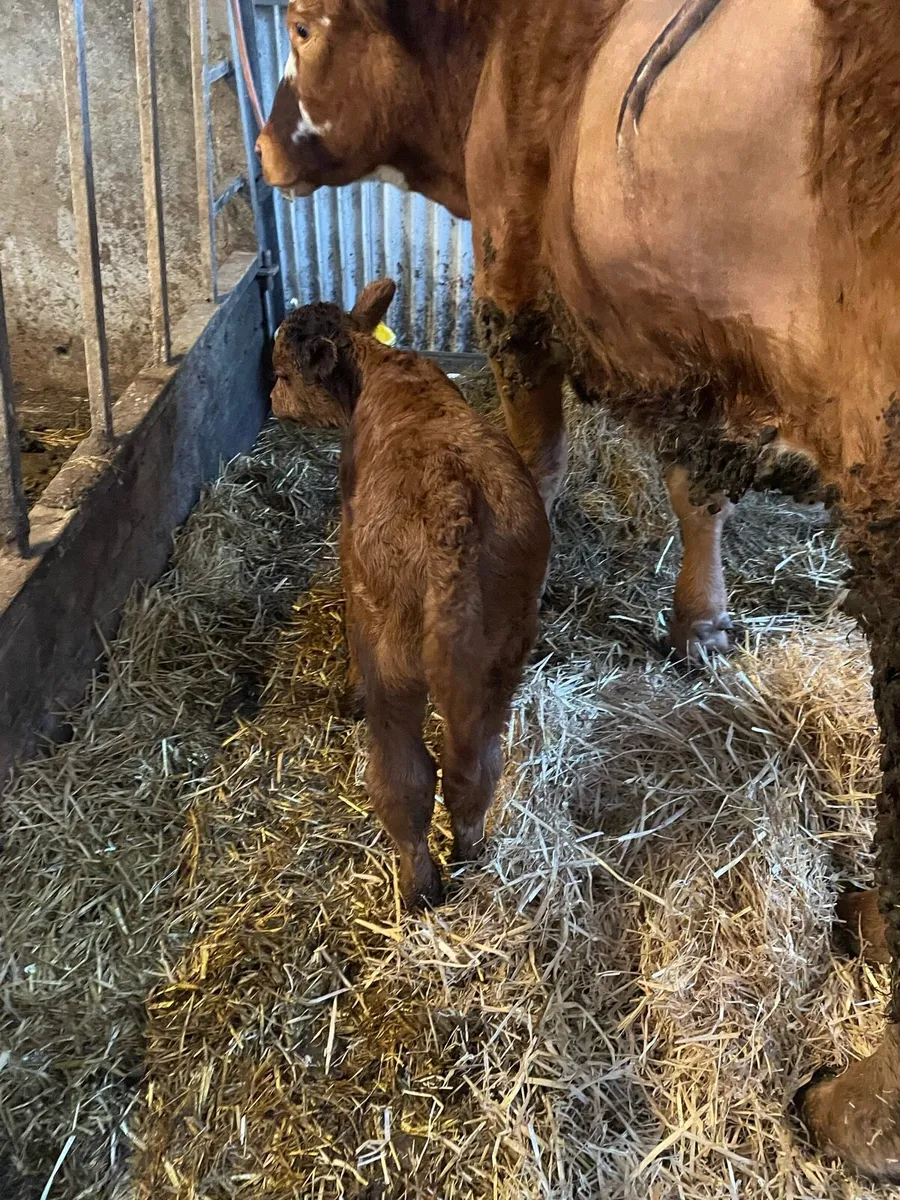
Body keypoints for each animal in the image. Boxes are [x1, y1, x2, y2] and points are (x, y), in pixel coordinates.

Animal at [271, 278, 550, 909]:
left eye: (281, 372)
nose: (271, 400)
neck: (377, 366)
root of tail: (452, 502)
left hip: (392, 663)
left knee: (405, 778)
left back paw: (418, 885)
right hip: (505, 653)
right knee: (474, 769)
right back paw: (470, 851)